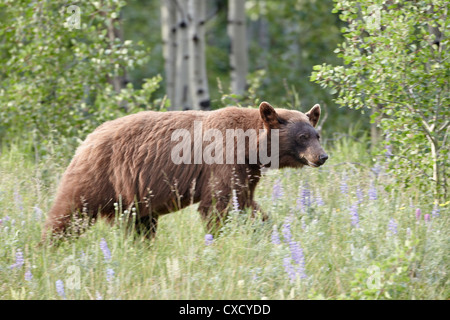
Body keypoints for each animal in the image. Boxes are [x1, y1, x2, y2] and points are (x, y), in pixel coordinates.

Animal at [43, 102, 326, 240]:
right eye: (302, 136)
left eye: (317, 134)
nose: (322, 157)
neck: (249, 146)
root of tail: (86, 140)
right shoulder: (223, 160)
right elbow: (218, 205)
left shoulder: (247, 169)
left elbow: (245, 201)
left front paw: (269, 230)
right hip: (99, 176)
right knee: (69, 212)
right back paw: (48, 247)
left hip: (134, 197)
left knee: (139, 225)